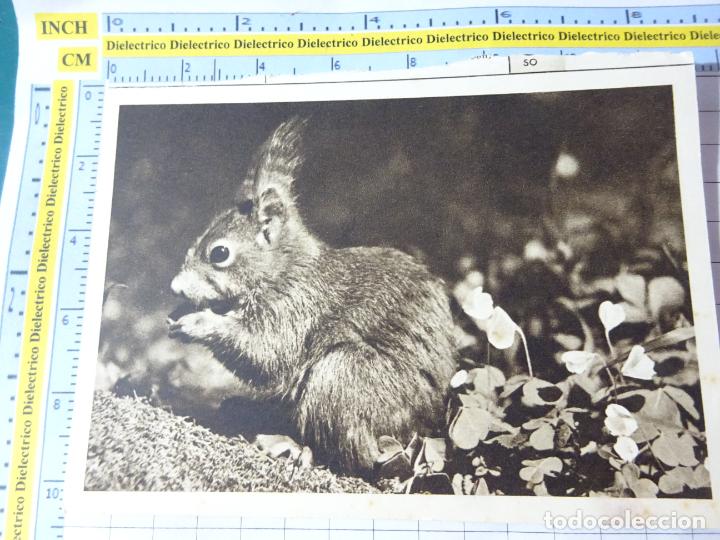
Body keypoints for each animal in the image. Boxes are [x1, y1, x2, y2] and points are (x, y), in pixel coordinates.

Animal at [167, 117, 456, 475]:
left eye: (219, 253)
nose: (175, 287)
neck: (283, 270)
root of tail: (423, 430)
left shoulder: (294, 309)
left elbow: (263, 353)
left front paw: (197, 322)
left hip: (344, 375)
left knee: (355, 457)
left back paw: (291, 445)